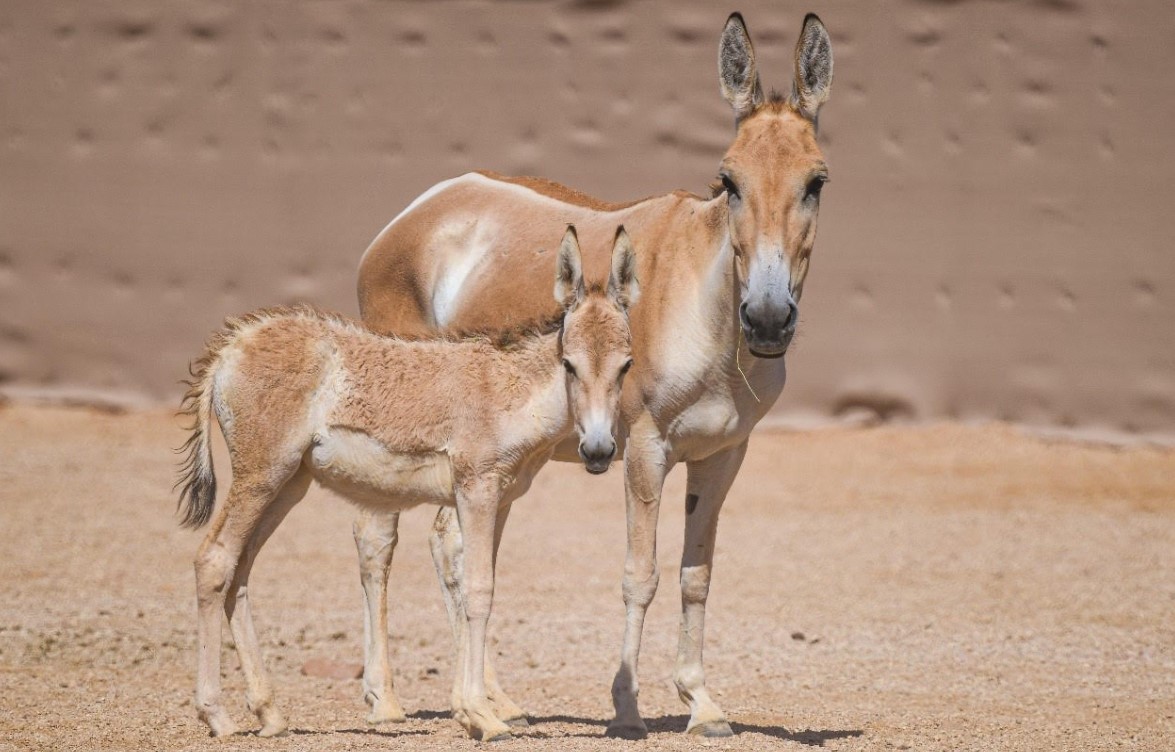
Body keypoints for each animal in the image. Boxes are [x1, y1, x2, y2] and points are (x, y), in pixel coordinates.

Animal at [173, 224, 639, 742]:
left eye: (626, 364)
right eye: (569, 363)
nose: (597, 451)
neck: (510, 391)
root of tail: (234, 343)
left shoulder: (497, 499)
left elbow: (472, 584)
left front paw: (470, 710)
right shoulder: (477, 489)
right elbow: (478, 589)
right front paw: (483, 716)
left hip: (286, 484)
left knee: (239, 570)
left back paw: (269, 712)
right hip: (260, 476)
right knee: (214, 561)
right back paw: (216, 714)